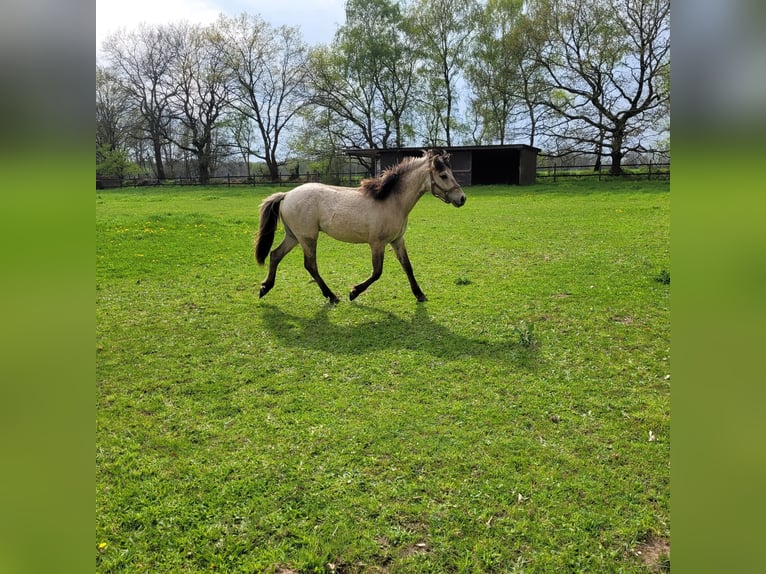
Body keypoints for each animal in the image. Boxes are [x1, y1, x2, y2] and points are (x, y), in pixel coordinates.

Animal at [254, 149, 466, 304]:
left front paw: (420, 294)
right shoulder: (377, 243)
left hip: (294, 236)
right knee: (310, 265)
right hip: (308, 238)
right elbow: (377, 272)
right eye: (443, 175)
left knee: (275, 255)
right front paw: (354, 292)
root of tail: (287, 195)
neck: (391, 201)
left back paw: (265, 288)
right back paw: (332, 296)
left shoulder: (397, 240)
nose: (462, 198)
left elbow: (407, 266)